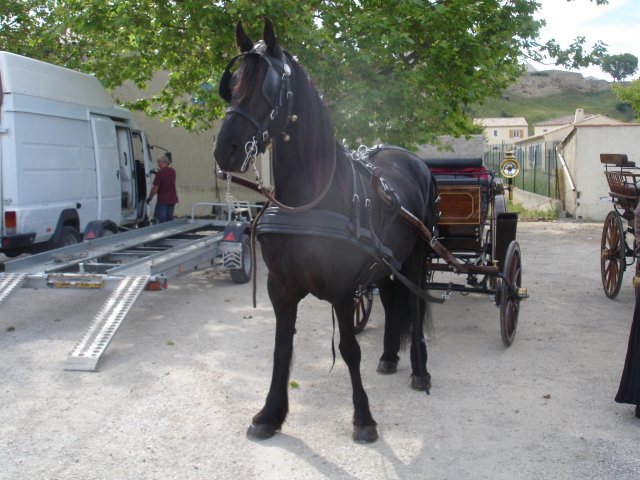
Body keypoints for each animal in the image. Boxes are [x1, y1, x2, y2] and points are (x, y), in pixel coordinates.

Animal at [212, 18, 438, 440]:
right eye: (231, 85)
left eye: (268, 88)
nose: (225, 150)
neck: (308, 200)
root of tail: (411, 159)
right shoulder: (280, 288)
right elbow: (281, 349)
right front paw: (270, 414)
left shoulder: (343, 290)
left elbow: (350, 351)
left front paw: (363, 418)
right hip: (387, 265)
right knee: (391, 299)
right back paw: (389, 356)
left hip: (417, 256)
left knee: (415, 308)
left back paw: (420, 369)